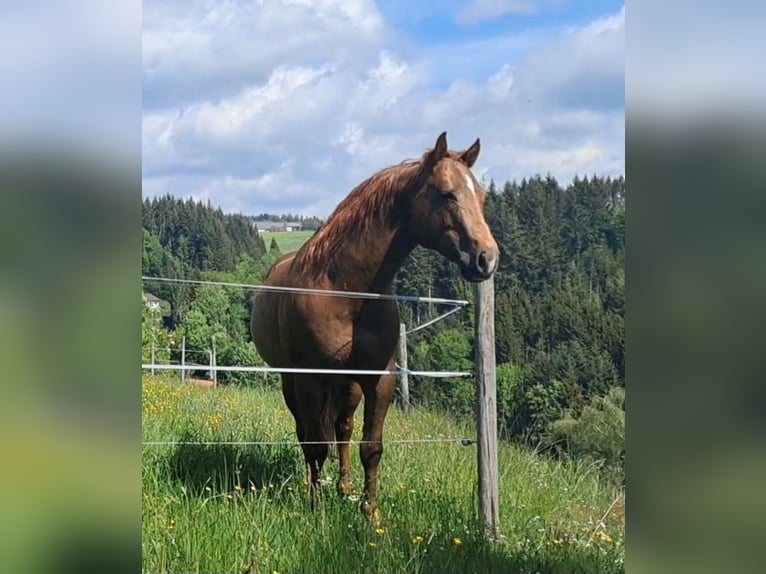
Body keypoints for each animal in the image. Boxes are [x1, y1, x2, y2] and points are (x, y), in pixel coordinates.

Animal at [250, 132, 499, 523]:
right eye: (447, 193)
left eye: (482, 197)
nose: (486, 258)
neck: (345, 292)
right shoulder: (308, 378)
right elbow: (315, 443)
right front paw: (316, 508)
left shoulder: (379, 379)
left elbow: (371, 446)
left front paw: (371, 514)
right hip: (292, 382)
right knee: (306, 431)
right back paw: (313, 485)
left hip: (347, 385)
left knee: (342, 428)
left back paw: (343, 486)